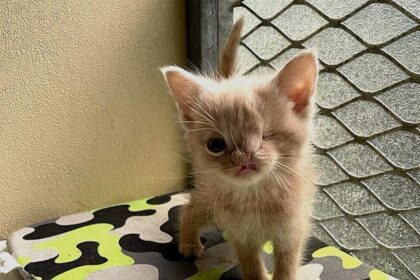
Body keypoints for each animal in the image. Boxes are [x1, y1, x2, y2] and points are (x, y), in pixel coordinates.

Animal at [161, 18, 318, 280]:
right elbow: (251, 265)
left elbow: (286, 266)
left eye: (266, 136)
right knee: (191, 206)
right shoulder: (241, 235)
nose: (243, 157)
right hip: (209, 195)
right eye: (215, 145)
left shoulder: (293, 230)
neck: (255, 197)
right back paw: (189, 241)